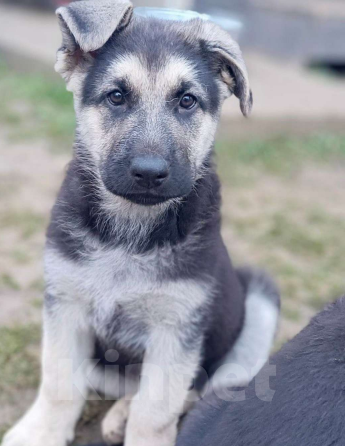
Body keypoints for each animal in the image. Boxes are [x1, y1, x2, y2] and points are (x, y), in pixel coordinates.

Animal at [1, 0, 280, 446]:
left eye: (187, 101)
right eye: (116, 96)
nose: (149, 173)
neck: (130, 232)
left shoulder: (176, 327)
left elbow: (155, 409)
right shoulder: (66, 303)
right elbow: (59, 383)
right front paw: (40, 433)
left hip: (257, 301)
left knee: (202, 389)